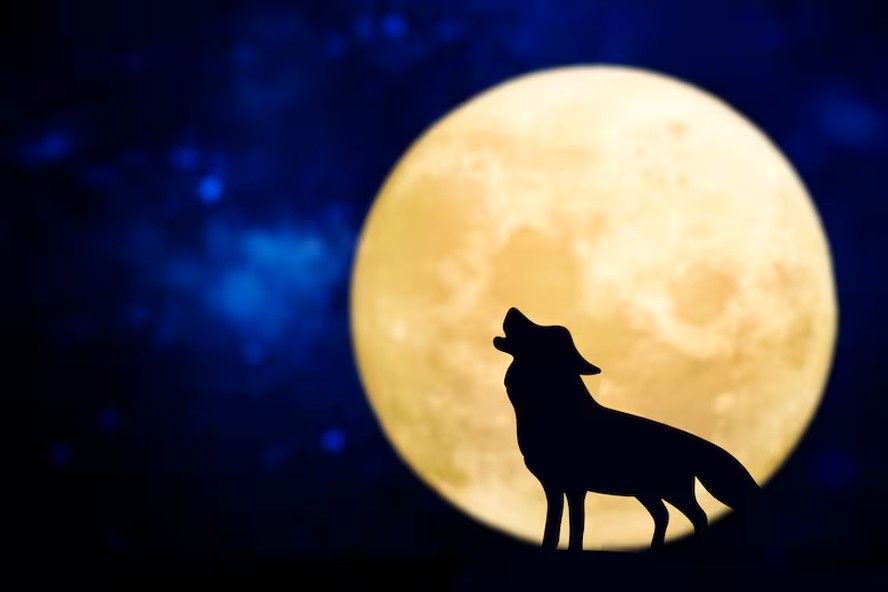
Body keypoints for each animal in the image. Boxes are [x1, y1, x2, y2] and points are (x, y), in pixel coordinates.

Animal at [493, 307, 760, 551]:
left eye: (540, 332)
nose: (513, 309)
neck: (550, 408)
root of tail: (694, 442)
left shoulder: (576, 486)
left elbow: (577, 528)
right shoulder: (552, 486)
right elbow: (552, 528)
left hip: (672, 490)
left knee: (697, 515)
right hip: (647, 492)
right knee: (663, 515)